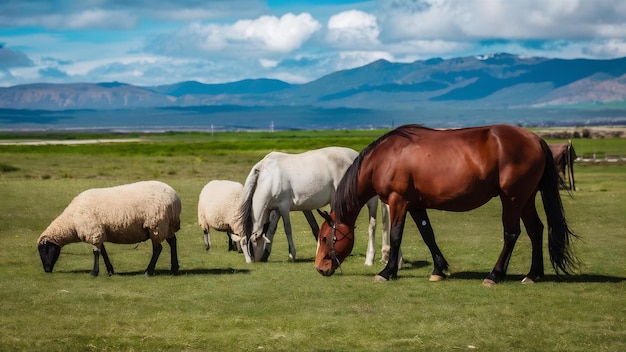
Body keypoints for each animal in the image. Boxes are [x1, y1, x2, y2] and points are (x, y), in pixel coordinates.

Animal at [37, 180, 180, 276]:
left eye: (44, 248)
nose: (47, 270)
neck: (71, 222)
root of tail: (175, 197)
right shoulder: (99, 232)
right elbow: (103, 251)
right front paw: (110, 270)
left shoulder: (93, 231)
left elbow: (96, 252)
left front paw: (94, 273)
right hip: (168, 225)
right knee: (172, 242)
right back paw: (174, 268)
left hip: (156, 224)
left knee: (158, 248)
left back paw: (148, 271)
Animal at [240, 146, 390, 264]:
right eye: (242, 246)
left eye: (250, 247)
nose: (251, 261)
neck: (269, 176)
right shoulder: (276, 208)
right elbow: (272, 229)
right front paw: (266, 253)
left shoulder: (284, 207)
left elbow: (287, 229)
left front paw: (292, 254)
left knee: (371, 223)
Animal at [316, 124, 576, 286]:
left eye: (325, 238)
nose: (320, 268)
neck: (385, 157)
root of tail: (535, 139)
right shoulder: (415, 204)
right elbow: (427, 234)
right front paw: (438, 270)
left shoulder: (398, 201)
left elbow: (396, 235)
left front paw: (387, 272)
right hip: (526, 199)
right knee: (536, 230)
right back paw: (533, 274)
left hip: (511, 199)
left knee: (512, 234)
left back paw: (495, 275)